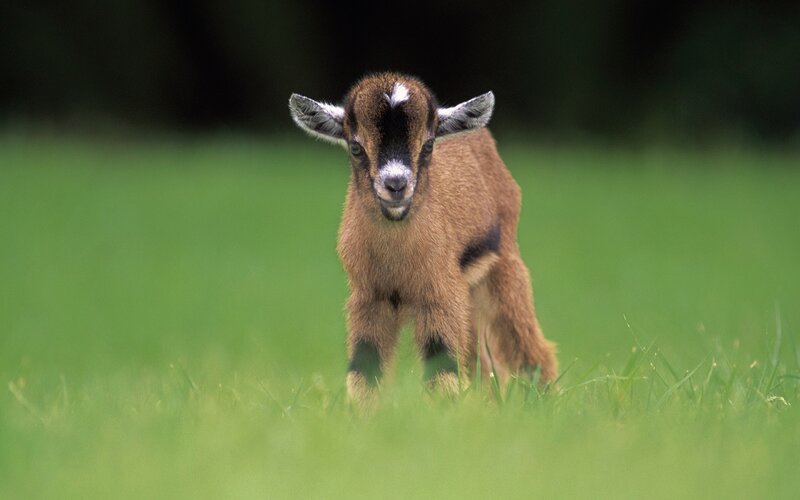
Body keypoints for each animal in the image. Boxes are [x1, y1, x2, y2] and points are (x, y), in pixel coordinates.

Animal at [289, 73, 557, 403]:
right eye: (355, 147)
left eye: (428, 146)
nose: (396, 184)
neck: (397, 264)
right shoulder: (369, 299)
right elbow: (365, 368)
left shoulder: (441, 295)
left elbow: (442, 368)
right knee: (483, 364)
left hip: (503, 268)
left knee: (529, 348)